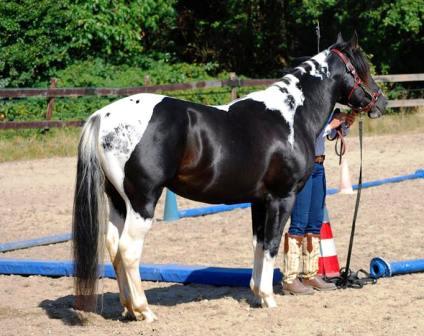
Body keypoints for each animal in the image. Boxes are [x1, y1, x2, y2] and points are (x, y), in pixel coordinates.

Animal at [72, 32, 388, 322]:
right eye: (361, 68)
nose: (381, 102)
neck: (291, 116)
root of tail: (103, 115)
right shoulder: (282, 197)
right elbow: (272, 243)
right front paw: (269, 299)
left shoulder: (259, 201)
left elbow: (258, 244)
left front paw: (258, 294)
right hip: (142, 202)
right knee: (128, 250)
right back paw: (144, 310)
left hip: (118, 201)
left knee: (113, 246)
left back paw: (128, 309)